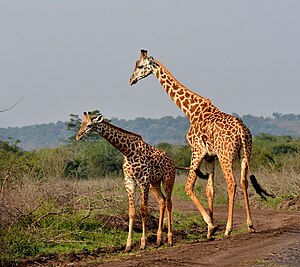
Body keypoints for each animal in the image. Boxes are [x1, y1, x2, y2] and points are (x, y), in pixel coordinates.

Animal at [75, 112, 177, 252]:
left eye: (89, 125)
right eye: (81, 124)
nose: (78, 136)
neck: (128, 152)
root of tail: (171, 158)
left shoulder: (143, 181)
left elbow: (143, 211)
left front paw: (143, 243)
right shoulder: (130, 182)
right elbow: (132, 212)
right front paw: (128, 245)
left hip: (168, 179)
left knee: (169, 203)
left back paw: (170, 239)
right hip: (155, 182)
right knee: (162, 201)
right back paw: (158, 240)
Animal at [129, 50, 274, 239]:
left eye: (140, 66)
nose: (131, 80)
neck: (190, 110)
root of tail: (242, 132)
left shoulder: (197, 150)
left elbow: (189, 187)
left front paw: (211, 225)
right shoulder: (210, 156)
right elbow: (209, 190)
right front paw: (209, 231)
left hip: (225, 156)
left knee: (232, 183)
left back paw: (228, 228)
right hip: (245, 154)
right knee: (244, 182)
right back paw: (250, 225)